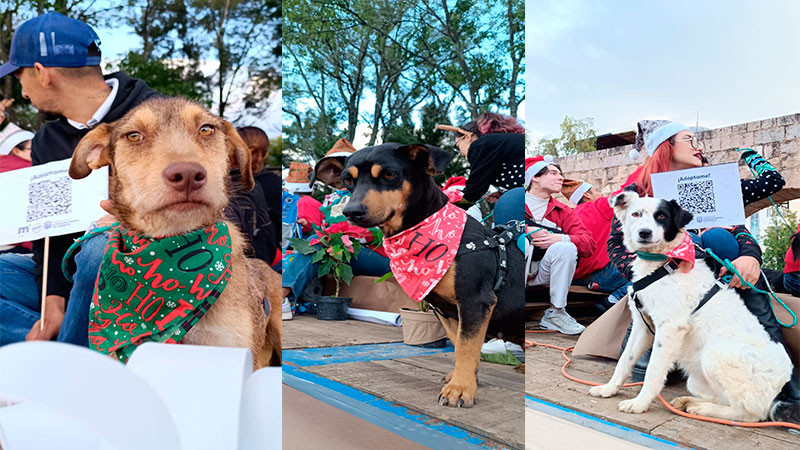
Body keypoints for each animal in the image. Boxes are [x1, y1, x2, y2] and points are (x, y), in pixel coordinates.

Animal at [338, 142, 524, 406]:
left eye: (389, 174)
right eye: (347, 180)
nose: (351, 211)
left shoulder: (475, 301)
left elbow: (467, 346)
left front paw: (460, 388)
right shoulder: (445, 310)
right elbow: (459, 344)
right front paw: (464, 378)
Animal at [588, 191, 792, 422]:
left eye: (661, 216)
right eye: (636, 214)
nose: (644, 233)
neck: (664, 263)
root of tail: (779, 388)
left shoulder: (669, 328)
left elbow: (654, 371)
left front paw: (639, 403)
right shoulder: (642, 326)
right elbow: (624, 361)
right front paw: (609, 389)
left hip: (714, 354)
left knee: (747, 413)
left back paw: (702, 409)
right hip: (696, 380)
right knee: (723, 399)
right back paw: (689, 403)